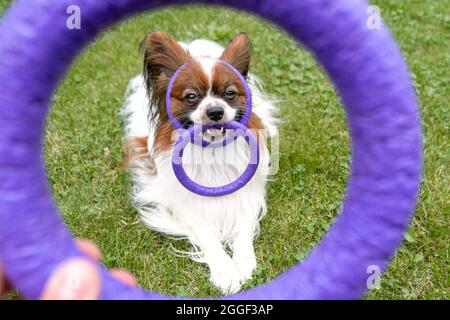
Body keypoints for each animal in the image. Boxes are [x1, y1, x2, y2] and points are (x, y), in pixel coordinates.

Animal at [121, 31, 280, 294]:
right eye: (191, 96)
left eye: (230, 94)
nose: (215, 112)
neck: (212, 150)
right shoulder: (179, 200)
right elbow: (206, 233)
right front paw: (225, 271)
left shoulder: (246, 194)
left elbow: (243, 227)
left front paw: (244, 262)